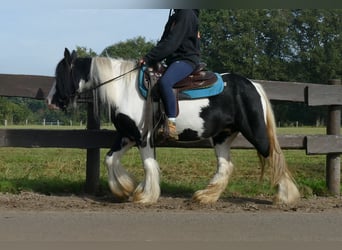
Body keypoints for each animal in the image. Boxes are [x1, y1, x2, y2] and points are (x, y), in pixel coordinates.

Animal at [47, 48, 300, 205]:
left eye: (61, 73)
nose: (50, 101)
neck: (125, 89)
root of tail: (252, 85)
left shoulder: (144, 137)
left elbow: (149, 165)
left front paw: (145, 196)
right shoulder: (128, 135)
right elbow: (110, 159)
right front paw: (125, 189)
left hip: (256, 132)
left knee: (274, 156)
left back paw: (286, 196)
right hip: (221, 136)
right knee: (225, 166)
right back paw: (205, 196)